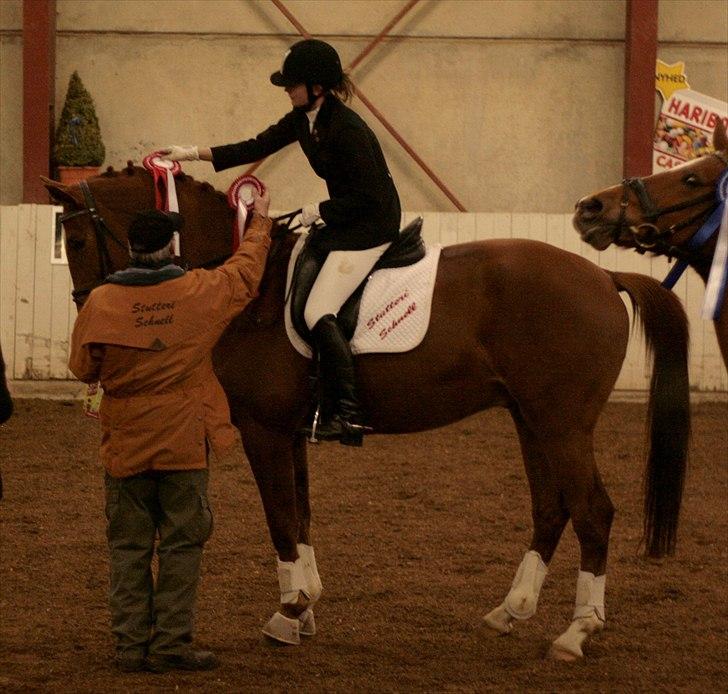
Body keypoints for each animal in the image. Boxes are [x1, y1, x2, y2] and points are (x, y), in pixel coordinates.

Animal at [42, 164, 692, 664]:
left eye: (75, 243)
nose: (87, 332)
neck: (250, 287)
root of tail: (603, 275)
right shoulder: (289, 431)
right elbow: (301, 515)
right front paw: (304, 608)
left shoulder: (262, 429)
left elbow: (281, 519)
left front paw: (288, 613)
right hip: (531, 419)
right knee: (551, 508)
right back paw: (510, 611)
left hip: (562, 424)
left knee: (593, 513)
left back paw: (575, 634)